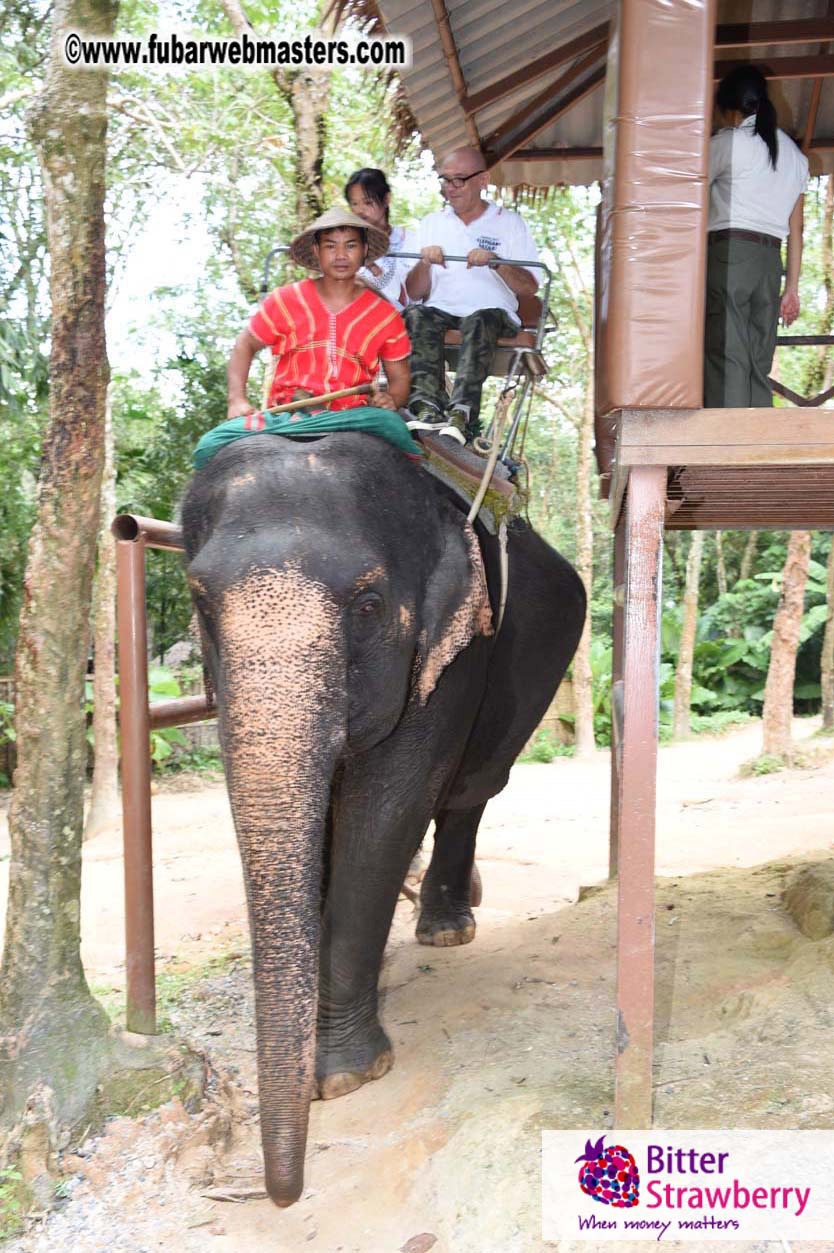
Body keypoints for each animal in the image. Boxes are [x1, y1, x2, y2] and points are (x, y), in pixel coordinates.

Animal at [180, 430, 585, 1207]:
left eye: (368, 605)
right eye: (200, 603)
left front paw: (341, 1076)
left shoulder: (455, 646)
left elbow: (387, 809)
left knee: (470, 788)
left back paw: (446, 927)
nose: (283, 1193)